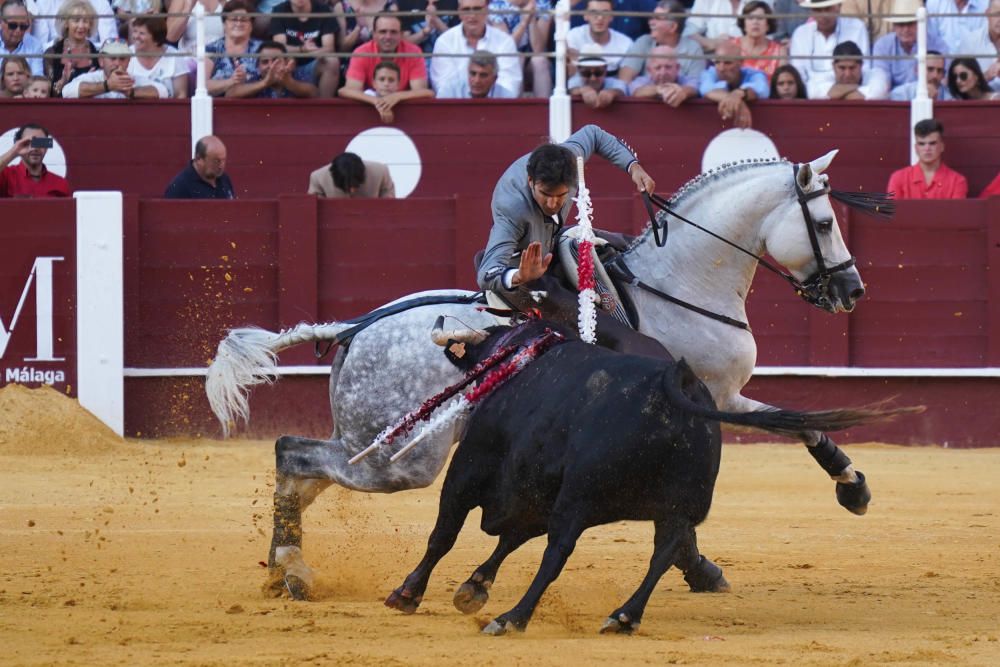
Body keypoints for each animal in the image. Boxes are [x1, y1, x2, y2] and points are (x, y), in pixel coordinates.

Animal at [209, 151, 876, 600]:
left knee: (300, 466)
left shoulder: (725, 397)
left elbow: (803, 426)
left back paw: (287, 573)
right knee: (295, 454)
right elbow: (784, 428)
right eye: (823, 224)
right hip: (402, 457)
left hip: (371, 441)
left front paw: (853, 487)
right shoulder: (713, 397)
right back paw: (293, 568)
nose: (852, 290)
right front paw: (704, 566)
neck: (679, 282)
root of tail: (357, 327)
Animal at [384, 324, 892, 636]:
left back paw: (513, 618)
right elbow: (509, 539)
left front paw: (408, 592)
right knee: (664, 551)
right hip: (678, 504)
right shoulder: (535, 497)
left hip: (580, 497)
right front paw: (473, 587)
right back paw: (624, 616)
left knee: (558, 553)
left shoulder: (471, 473)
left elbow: (444, 535)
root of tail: (676, 385)